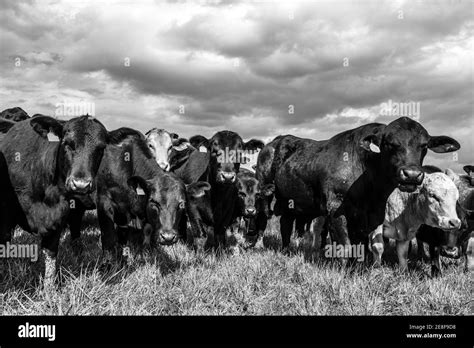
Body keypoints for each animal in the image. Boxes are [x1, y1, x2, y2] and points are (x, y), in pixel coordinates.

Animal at [0, 115, 133, 286]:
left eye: (101, 148)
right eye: (67, 143)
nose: (81, 184)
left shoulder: (58, 217)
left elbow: (51, 256)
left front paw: (49, 289)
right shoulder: (6, 216)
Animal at [258, 117, 462, 260]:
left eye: (424, 145)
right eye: (389, 143)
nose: (411, 174)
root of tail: (276, 141)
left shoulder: (373, 215)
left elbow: (364, 245)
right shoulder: (336, 208)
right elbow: (346, 245)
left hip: (289, 201)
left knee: (285, 223)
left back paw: (286, 249)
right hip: (264, 192)